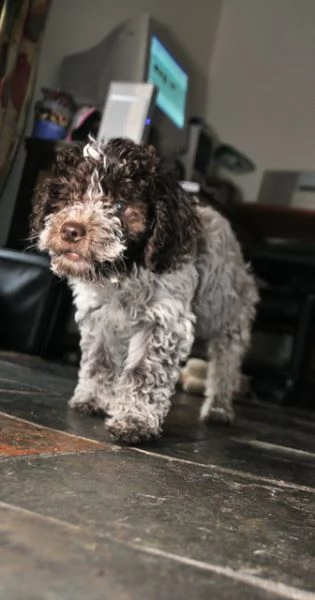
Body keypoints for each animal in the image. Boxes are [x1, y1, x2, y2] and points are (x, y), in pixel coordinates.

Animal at [32, 138, 260, 442]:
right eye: (69, 197)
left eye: (119, 204)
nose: (71, 230)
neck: (124, 272)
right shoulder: (100, 317)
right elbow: (100, 360)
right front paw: (94, 398)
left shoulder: (164, 321)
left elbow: (143, 371)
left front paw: (134, 419)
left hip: (229, 313)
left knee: (226, 361)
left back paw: (219, 407)